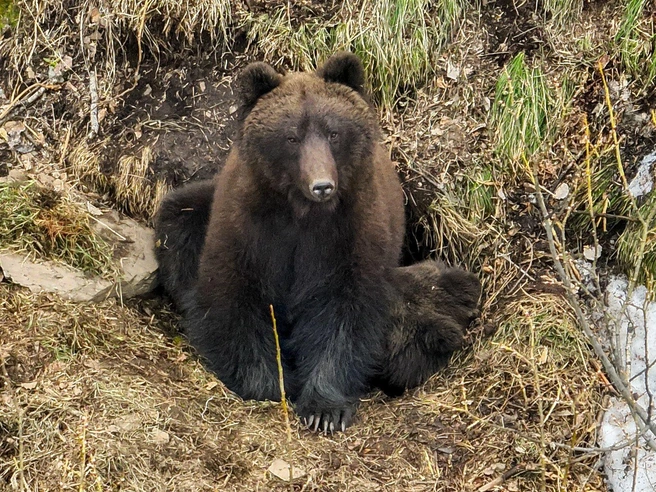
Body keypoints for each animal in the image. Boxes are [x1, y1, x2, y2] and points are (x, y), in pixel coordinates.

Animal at [154, 52, 482, 432]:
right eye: (291, 137)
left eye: (333, 132)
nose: (322, 185)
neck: (301, 213)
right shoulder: (249, 227)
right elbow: (234, 297)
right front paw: (271, 383)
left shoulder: (346, 235)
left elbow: (343, 310)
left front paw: (324, 409)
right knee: (179, 221)